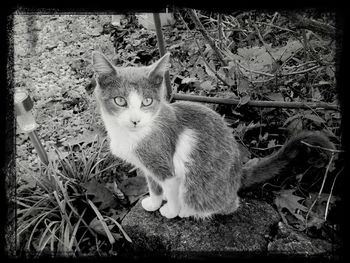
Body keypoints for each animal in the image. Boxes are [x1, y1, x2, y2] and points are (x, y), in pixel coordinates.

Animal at [90, 51, 334, 221]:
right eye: (120, 101)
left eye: (147, 102)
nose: (135, 120)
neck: (134, 134)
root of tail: (238, 173)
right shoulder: (148, 165)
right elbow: (154, 184)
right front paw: (154, 201)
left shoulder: (165, 163)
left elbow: (170, 186)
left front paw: (170, 210)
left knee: (228, 205)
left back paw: (189, 211)